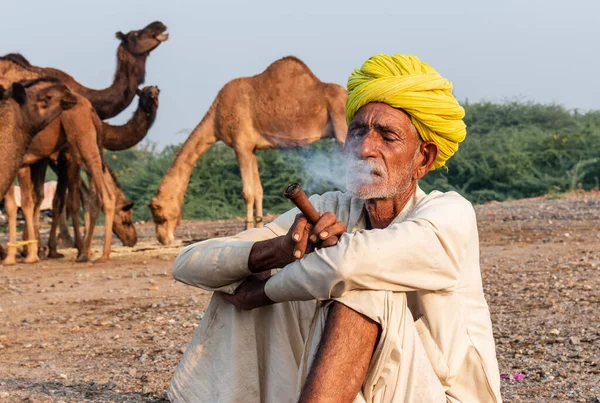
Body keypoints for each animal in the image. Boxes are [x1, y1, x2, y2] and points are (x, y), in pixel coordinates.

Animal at [148, 56, 350, 246]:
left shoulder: (241, 145)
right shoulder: (251, 148)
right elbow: (258, 190)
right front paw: (258, 226)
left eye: (159, 214)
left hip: (342, 128)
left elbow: (247, 192)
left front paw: (246, 227)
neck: (215, 117)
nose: (163, 239)